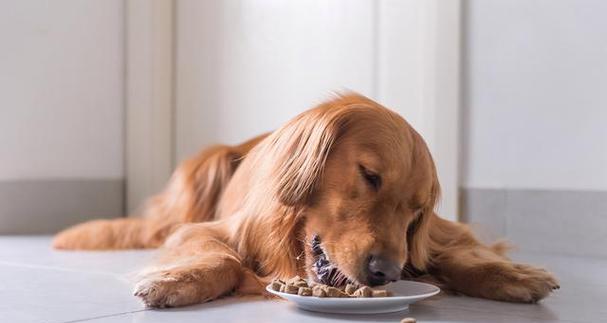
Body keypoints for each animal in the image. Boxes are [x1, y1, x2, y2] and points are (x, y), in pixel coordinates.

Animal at [53, 93, 560, 308]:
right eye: (370, 176)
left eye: (416, 212)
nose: (385, 273)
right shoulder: (204, 230)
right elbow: (224, 259)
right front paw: (178, 280)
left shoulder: (440, 233)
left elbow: (465, 253)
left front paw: (513, 275)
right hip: (206, 166)